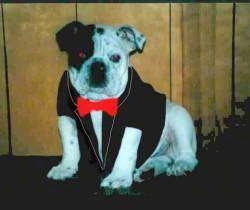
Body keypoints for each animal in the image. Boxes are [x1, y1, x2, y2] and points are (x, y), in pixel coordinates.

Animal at [47, 20, 197, 189]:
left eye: (115, 57)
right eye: (81, 54)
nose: (97, 66)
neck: (98, 102)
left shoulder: (132, 121)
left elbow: (125, 150)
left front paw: (118, 177)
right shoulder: (67, 117)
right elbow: (70, 144)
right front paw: (65, 167)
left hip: (179, 118)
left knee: (188, 153)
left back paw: (181, 165)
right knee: (163, 159)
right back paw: (147, 168)